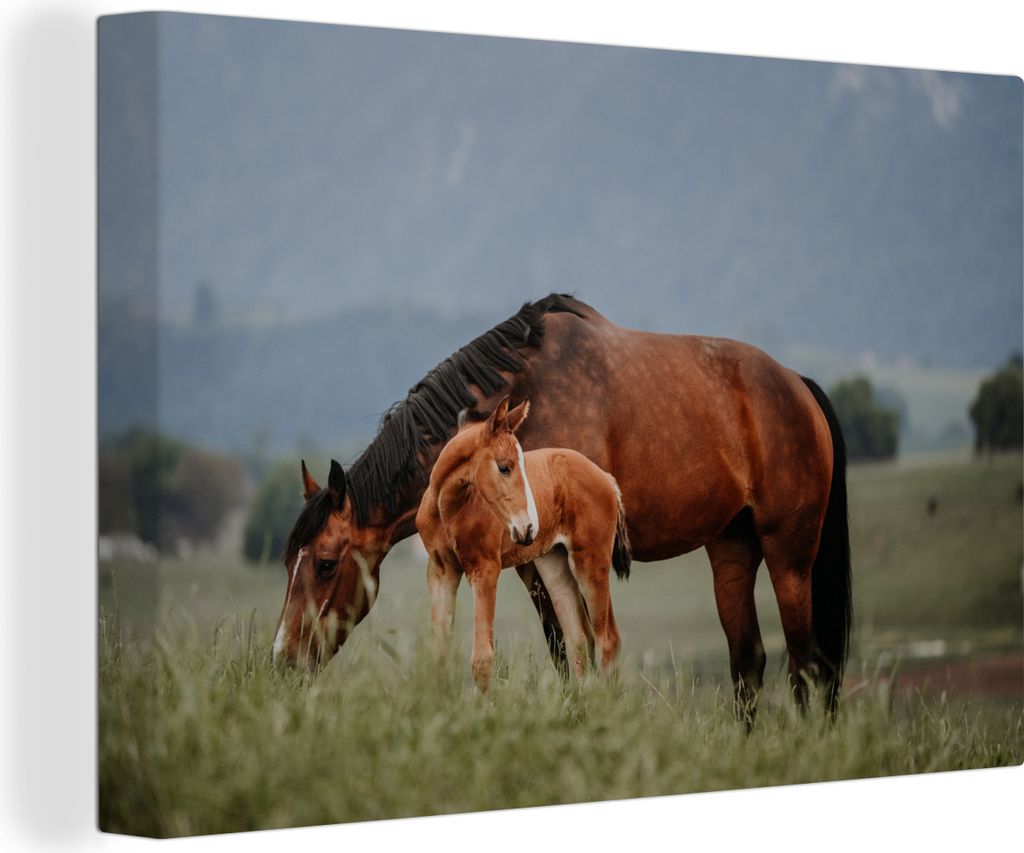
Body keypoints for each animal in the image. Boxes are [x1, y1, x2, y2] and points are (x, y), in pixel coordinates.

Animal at [415, 396, 631, 690]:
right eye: (504, 467)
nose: (528, 528)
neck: (447, 509)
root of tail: (606, 478)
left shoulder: (484, 570)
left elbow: (482, 658)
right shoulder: (441, 570)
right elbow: (438, 653)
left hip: (590, 562)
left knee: (607, 639)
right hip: (554, 564)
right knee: (578, 639)